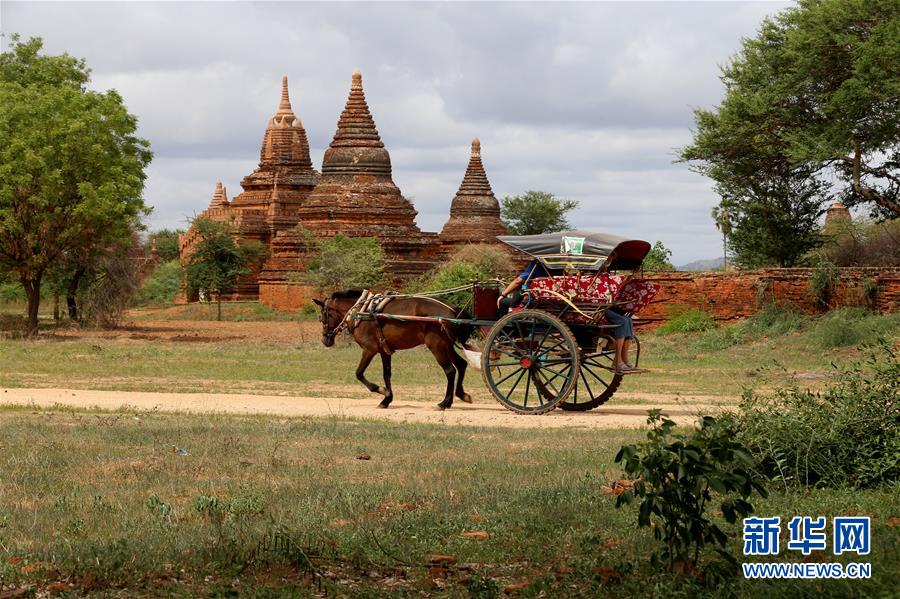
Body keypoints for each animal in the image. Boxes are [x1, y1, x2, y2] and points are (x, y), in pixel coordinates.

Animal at [312, 292, 474, 412]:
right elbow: (386, 374)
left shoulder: (369, 349)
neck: (361, 311)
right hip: (447, 346)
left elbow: (359, 373)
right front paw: (386, 399)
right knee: (461, 365)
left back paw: (444, 402)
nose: (325, 340)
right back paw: (461, 395)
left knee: (450, 371)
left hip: (437, 347)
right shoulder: (385, 351)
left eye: (323, 316)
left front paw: (381, 390)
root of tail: (454, 310)